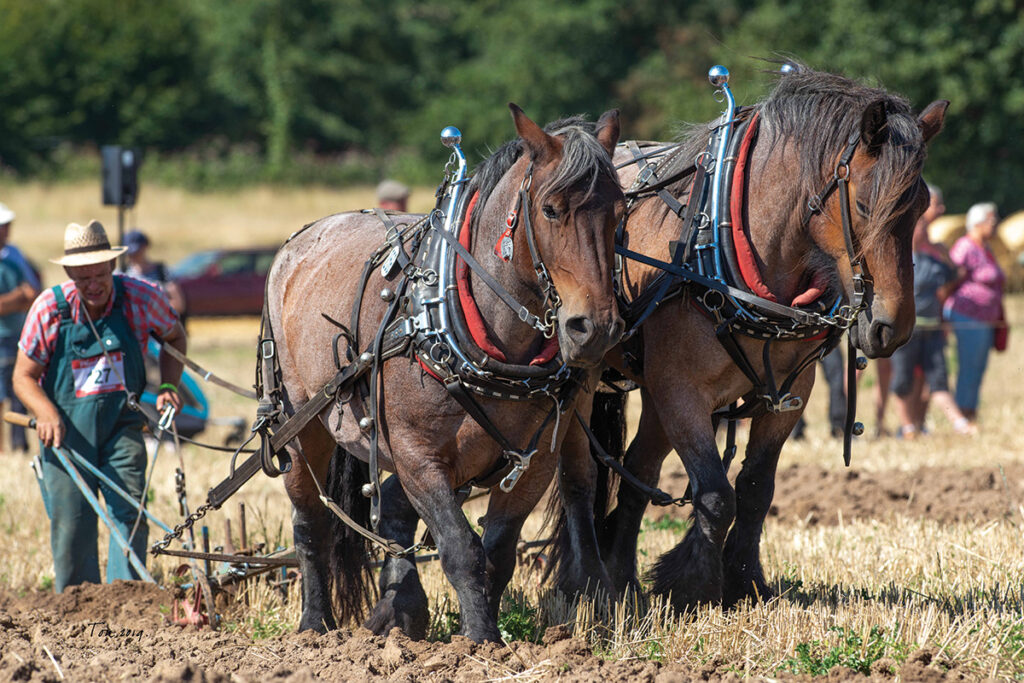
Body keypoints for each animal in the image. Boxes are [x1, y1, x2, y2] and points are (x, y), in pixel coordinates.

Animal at [262, 104, 625, 641]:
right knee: (311, 523)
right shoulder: (418, 457)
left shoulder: (534, 461)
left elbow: (497, 555)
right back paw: (314, 625)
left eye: (619, 211)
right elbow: (460, 549)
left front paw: (485, 634)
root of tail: (299, 242)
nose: (595, 328)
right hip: (300, 423)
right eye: (551, 209)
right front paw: (479, 642)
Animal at [546, 65, 948, 613]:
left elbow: (756, 488)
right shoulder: (681, 392)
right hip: (593, 382)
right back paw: (587, 582)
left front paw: (744, 580)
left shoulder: (788, 395)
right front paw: (694, 587)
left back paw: (623, 576)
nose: (894, 327)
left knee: (637, 477)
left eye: (923, 206)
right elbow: (717, 495)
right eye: (865, 204)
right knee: (580, 480)